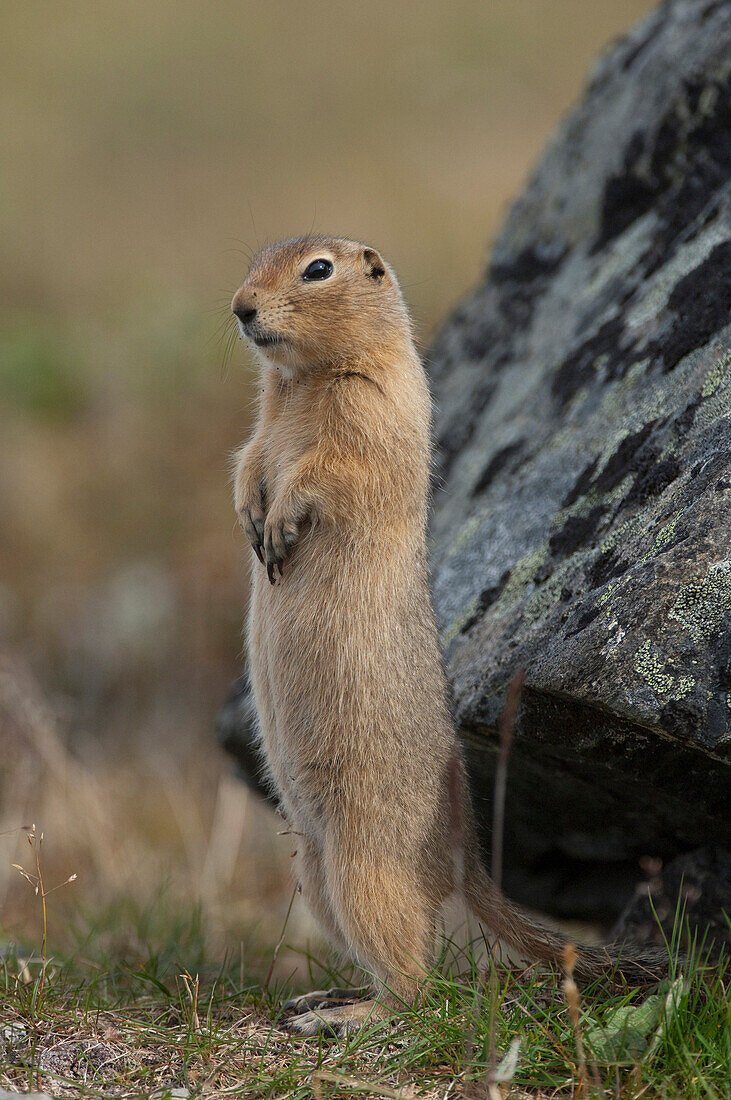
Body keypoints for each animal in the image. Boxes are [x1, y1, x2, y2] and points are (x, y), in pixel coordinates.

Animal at [229, 236, 668, 1034]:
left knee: (416, 984)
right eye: (256, 258)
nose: (240, 307)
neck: (303, 381)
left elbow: (327, 472)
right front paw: (252, 516)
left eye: (317, 269)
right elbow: (248, 457)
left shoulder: (369, 417)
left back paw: (345, 1017)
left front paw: (277, 527)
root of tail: (468, 861)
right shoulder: (262, 424)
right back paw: (322, 997)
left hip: (365, 869)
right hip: (314, 869)